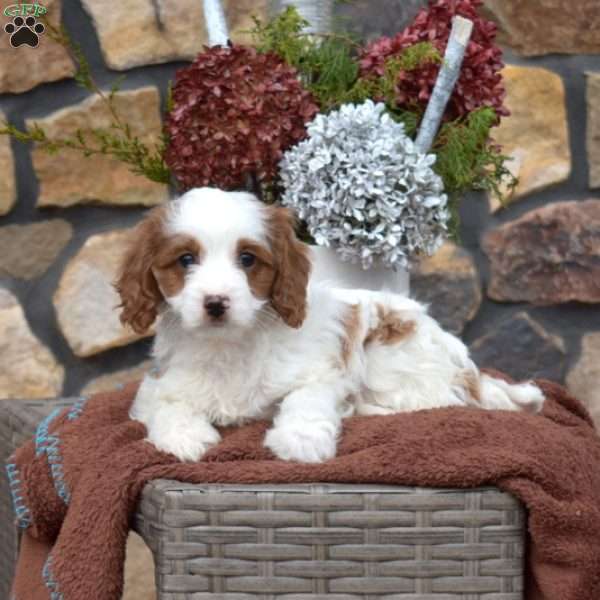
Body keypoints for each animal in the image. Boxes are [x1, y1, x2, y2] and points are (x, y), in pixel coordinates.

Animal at [116, 188, 544, 464]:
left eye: (248, 260)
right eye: (186, 260)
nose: (216, 303)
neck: (230, 344)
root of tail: (470, 370)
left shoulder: (323, 373)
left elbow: (304, 399)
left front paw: (300, 440)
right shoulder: (160, 383)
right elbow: (164, 405)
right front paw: (185, 436)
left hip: (387, 350)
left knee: (436, 402)